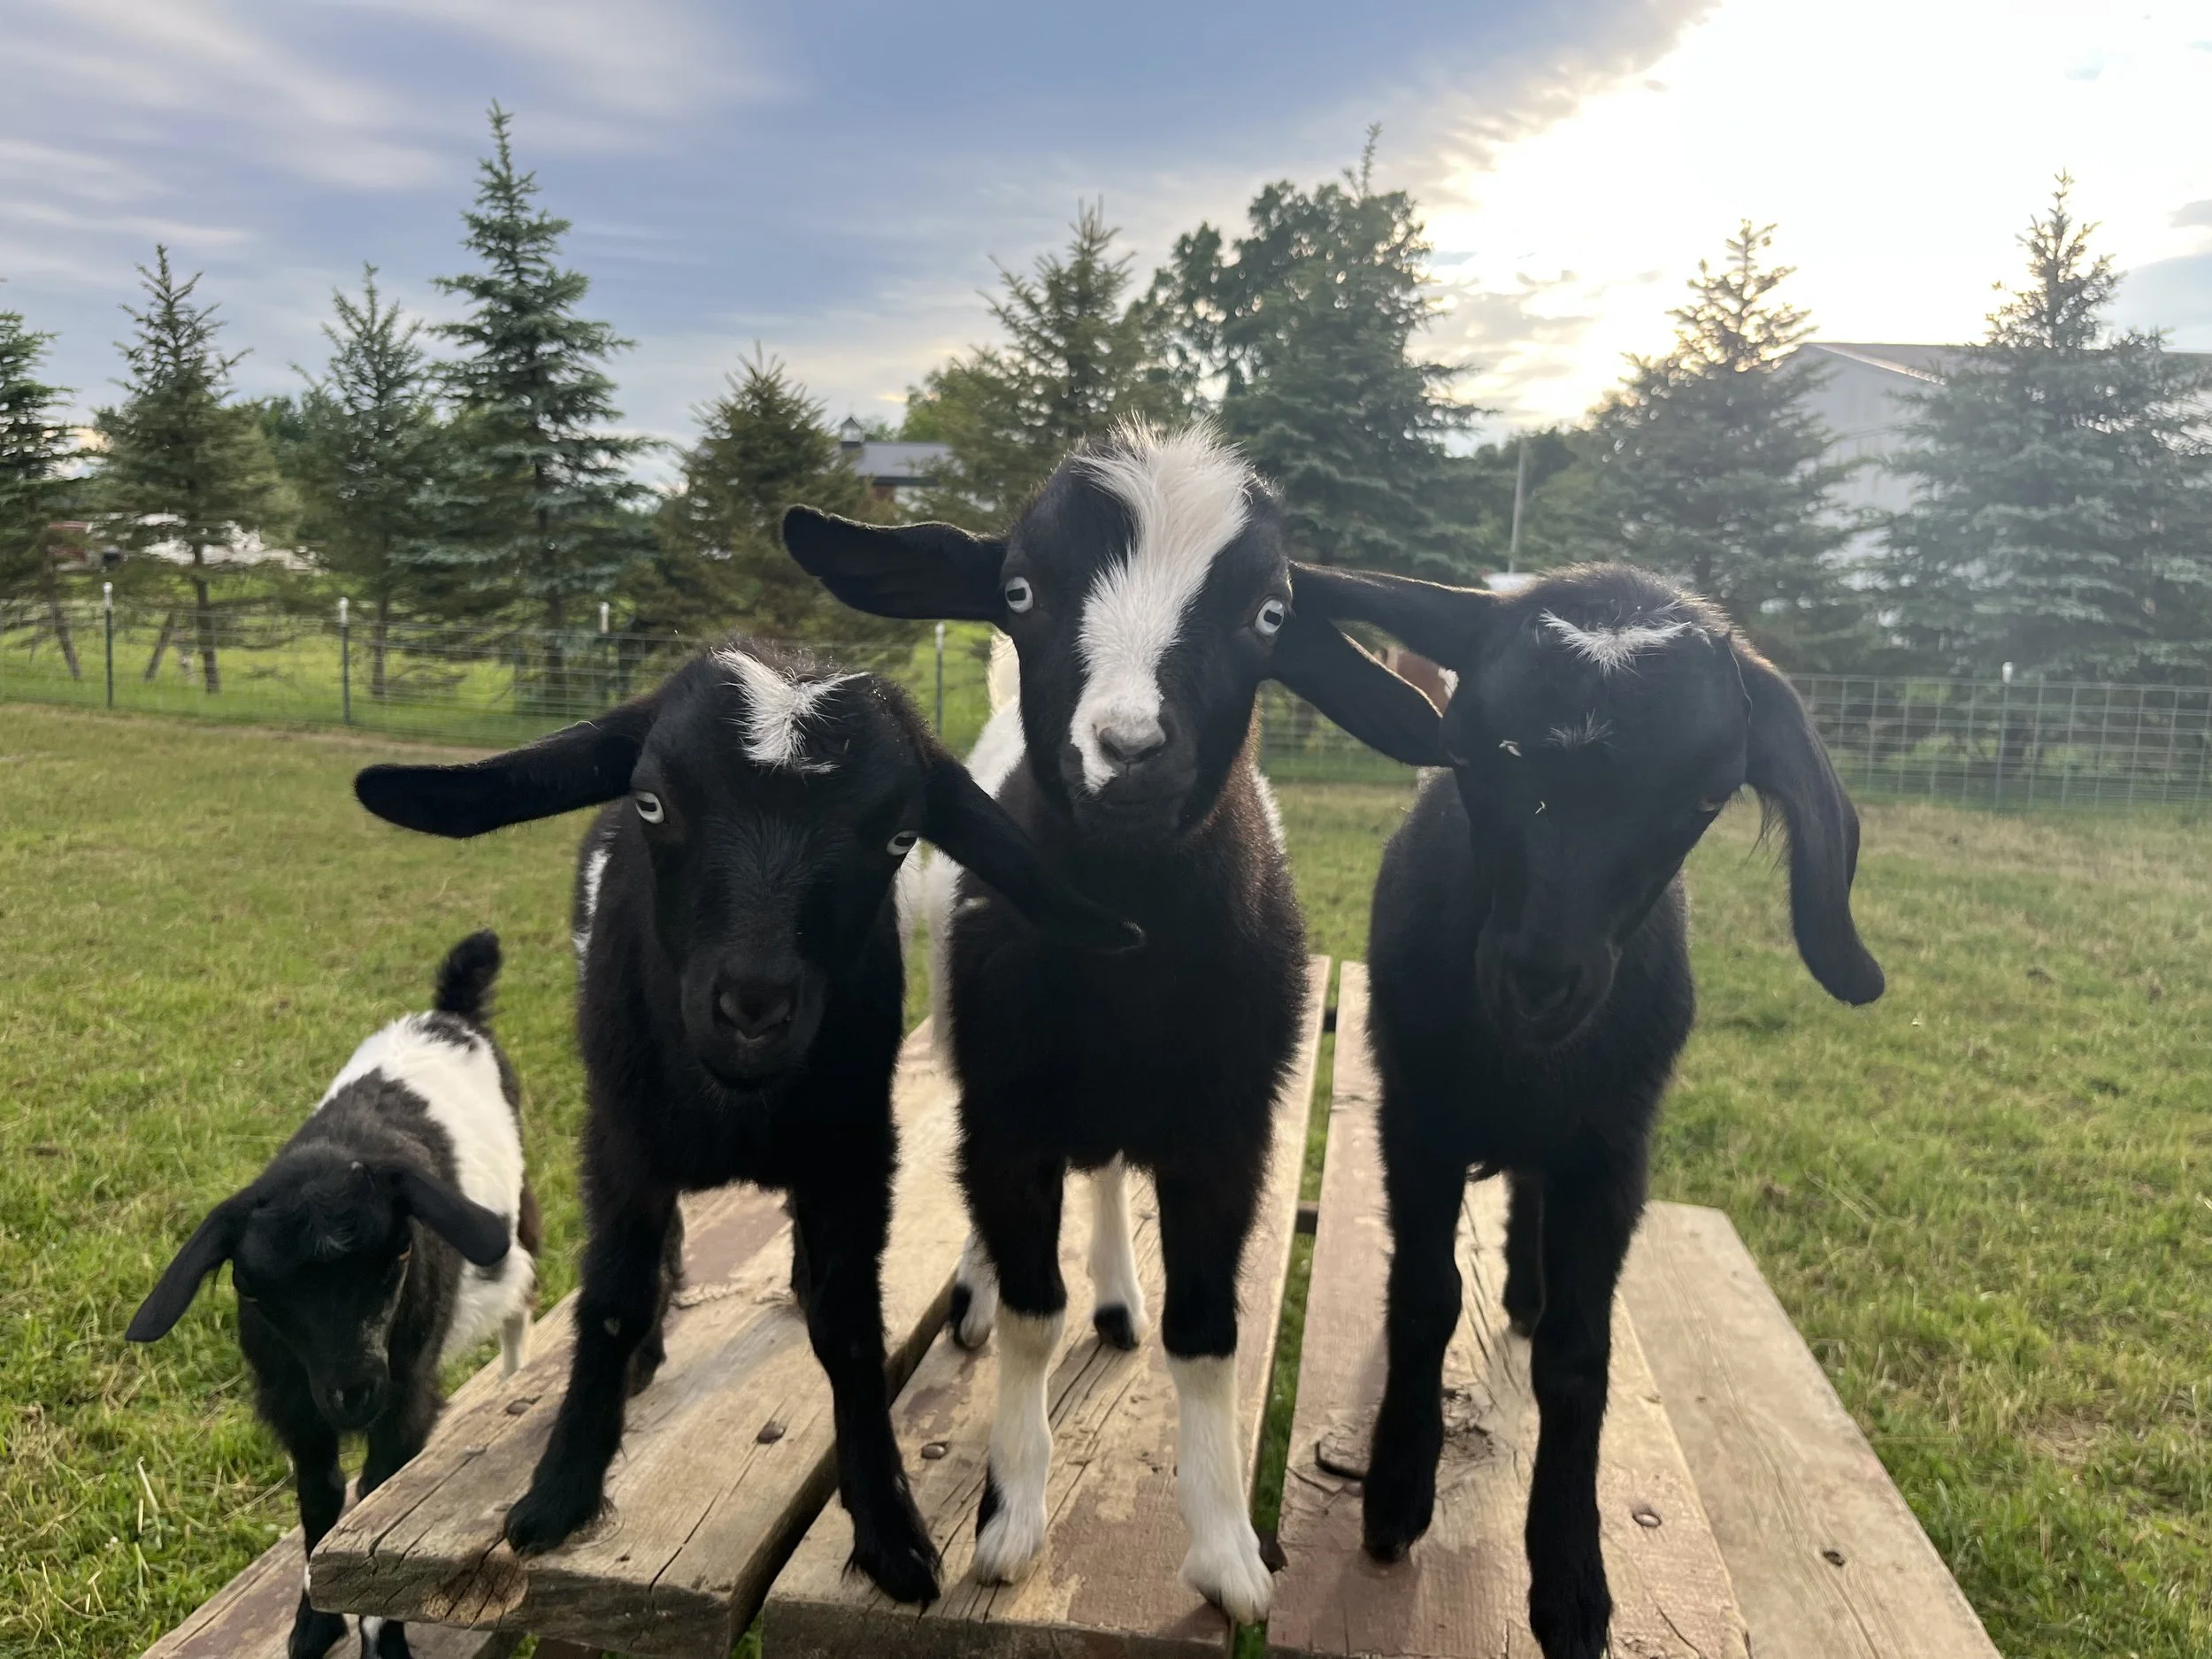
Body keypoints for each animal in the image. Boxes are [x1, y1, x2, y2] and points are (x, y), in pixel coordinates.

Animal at [128, 931, 535, 1659]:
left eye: (399, 1254)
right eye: (253, 1289)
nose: (354, 1394)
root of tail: (450, 1011)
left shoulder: (405, 1392)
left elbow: (377, 1500)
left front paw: (382, 1640)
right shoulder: (295, 1404)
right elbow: (321, 1503)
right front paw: (313, 1625)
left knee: (522, 1286)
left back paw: (517, 1375)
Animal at [351, 641, 1141, 1606]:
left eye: (897, 835)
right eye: (653, 801)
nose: (753, 1007)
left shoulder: (856, 1150)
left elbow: (849, 1321)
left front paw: (890, 1531)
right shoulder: (618, 1141)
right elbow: (611, 1300)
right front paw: (560, 1493)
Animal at [781, 424, 1441, 1623]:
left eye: (1268, 613)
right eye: (1019, 591)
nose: (1128, 748)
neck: (1127, 955)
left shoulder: (1227, 1134)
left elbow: (1208, 1334)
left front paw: (1227, 1555)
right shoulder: (1008, 1119)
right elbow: (1033, 1314)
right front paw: (1010, 1521)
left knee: (1105, 1179)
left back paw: (1121, 1295)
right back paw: (983, 1292)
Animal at [1289, 561, 1885, 1659]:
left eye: (1704, 795)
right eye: (1472, 751)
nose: (1539, 980)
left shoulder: (1614, 1151)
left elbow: (1578, 1358)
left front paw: (1571, 1583)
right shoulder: (1415, 1118)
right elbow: (1425, 1296)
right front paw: (1395, 1489)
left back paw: (1527, 1287)